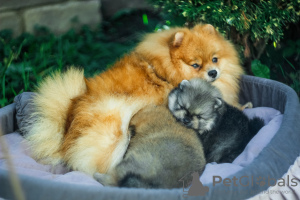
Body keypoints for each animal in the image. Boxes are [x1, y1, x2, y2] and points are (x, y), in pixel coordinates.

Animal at [22, 24, 244, 176]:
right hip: (115, 127)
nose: (213, 72)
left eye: (215, 59)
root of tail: (66, 131)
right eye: (196, 65)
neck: (164, 70)